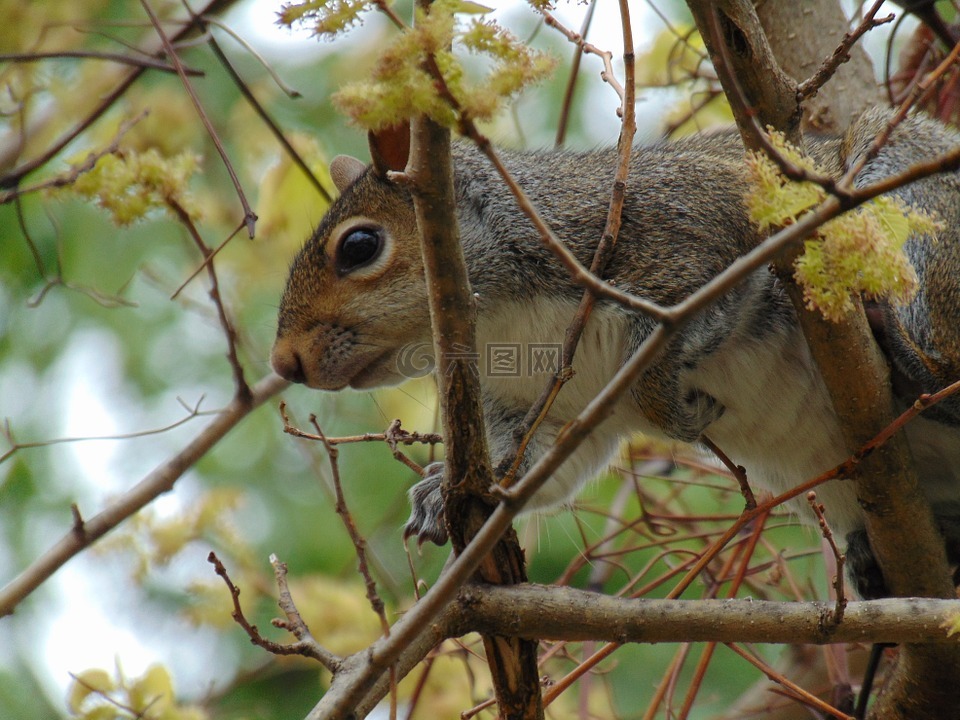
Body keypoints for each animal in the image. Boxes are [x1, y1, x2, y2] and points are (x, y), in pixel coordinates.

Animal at [270, 109, 960, 600]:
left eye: (359, 246)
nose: (285, 364)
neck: (503, 321)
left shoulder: (704, 237)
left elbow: (665, 368)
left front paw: (681, 414)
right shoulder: (552, 407)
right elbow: (532, 467)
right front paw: (442, 491)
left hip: (915, 216)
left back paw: (905, 357)